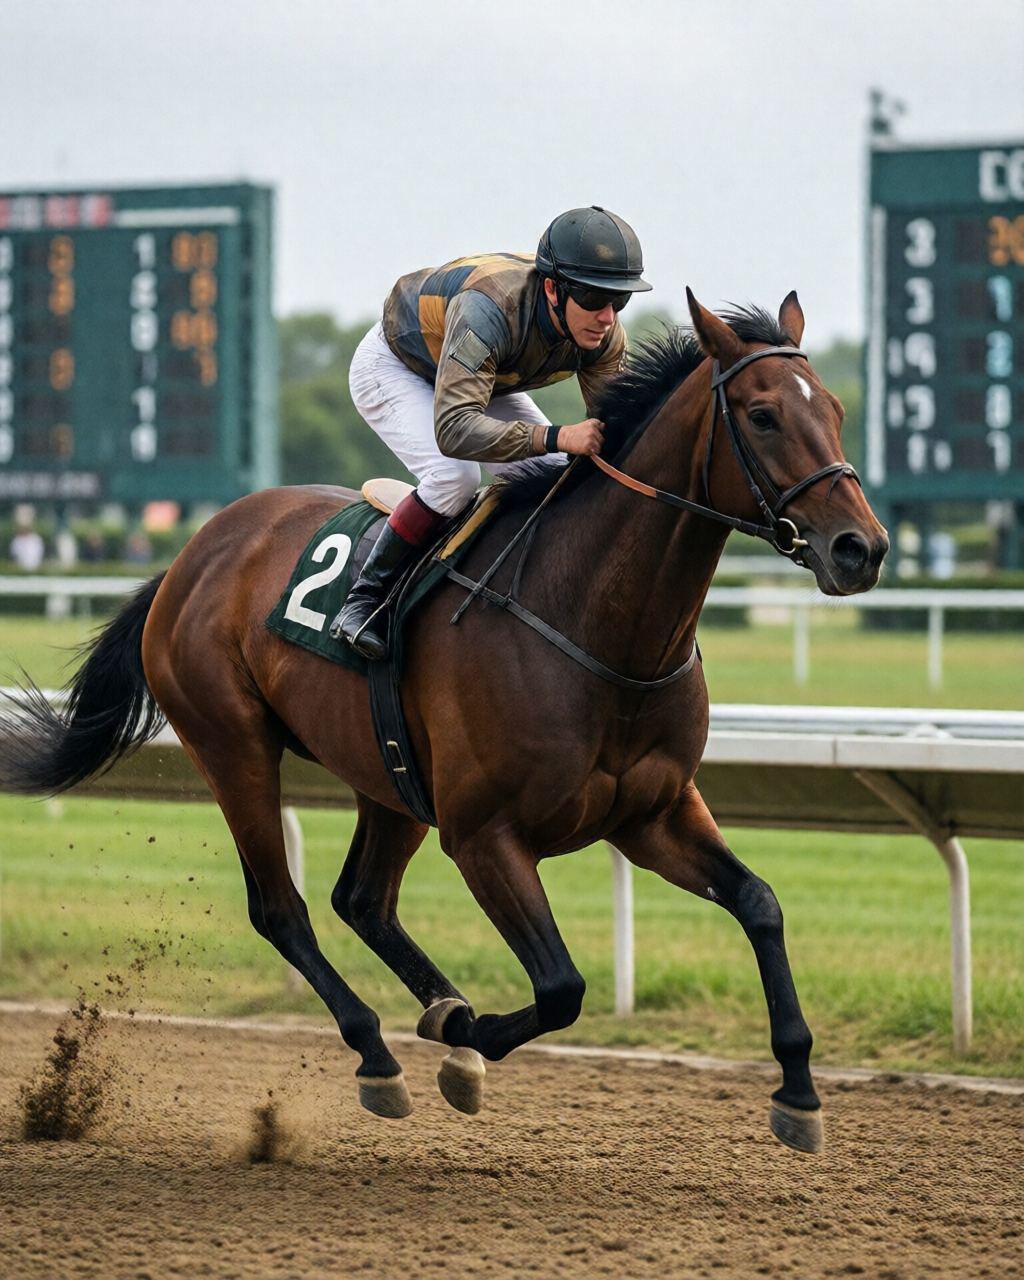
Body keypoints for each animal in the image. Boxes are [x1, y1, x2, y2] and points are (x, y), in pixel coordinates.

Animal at [0, 290, 887, 1153]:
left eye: (837, 409)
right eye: (763, 414)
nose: (862, 549)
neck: (595, 622)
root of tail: (191, 554)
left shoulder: (652, 813)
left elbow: (760, 904)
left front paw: (799, 1091)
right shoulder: (483, 833)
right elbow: (561, 987)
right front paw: (469, 1040)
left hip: (387, 773)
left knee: (361, 899)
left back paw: (435, 1012)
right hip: (232, 744)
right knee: (281, 909)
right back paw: (380, 1052)